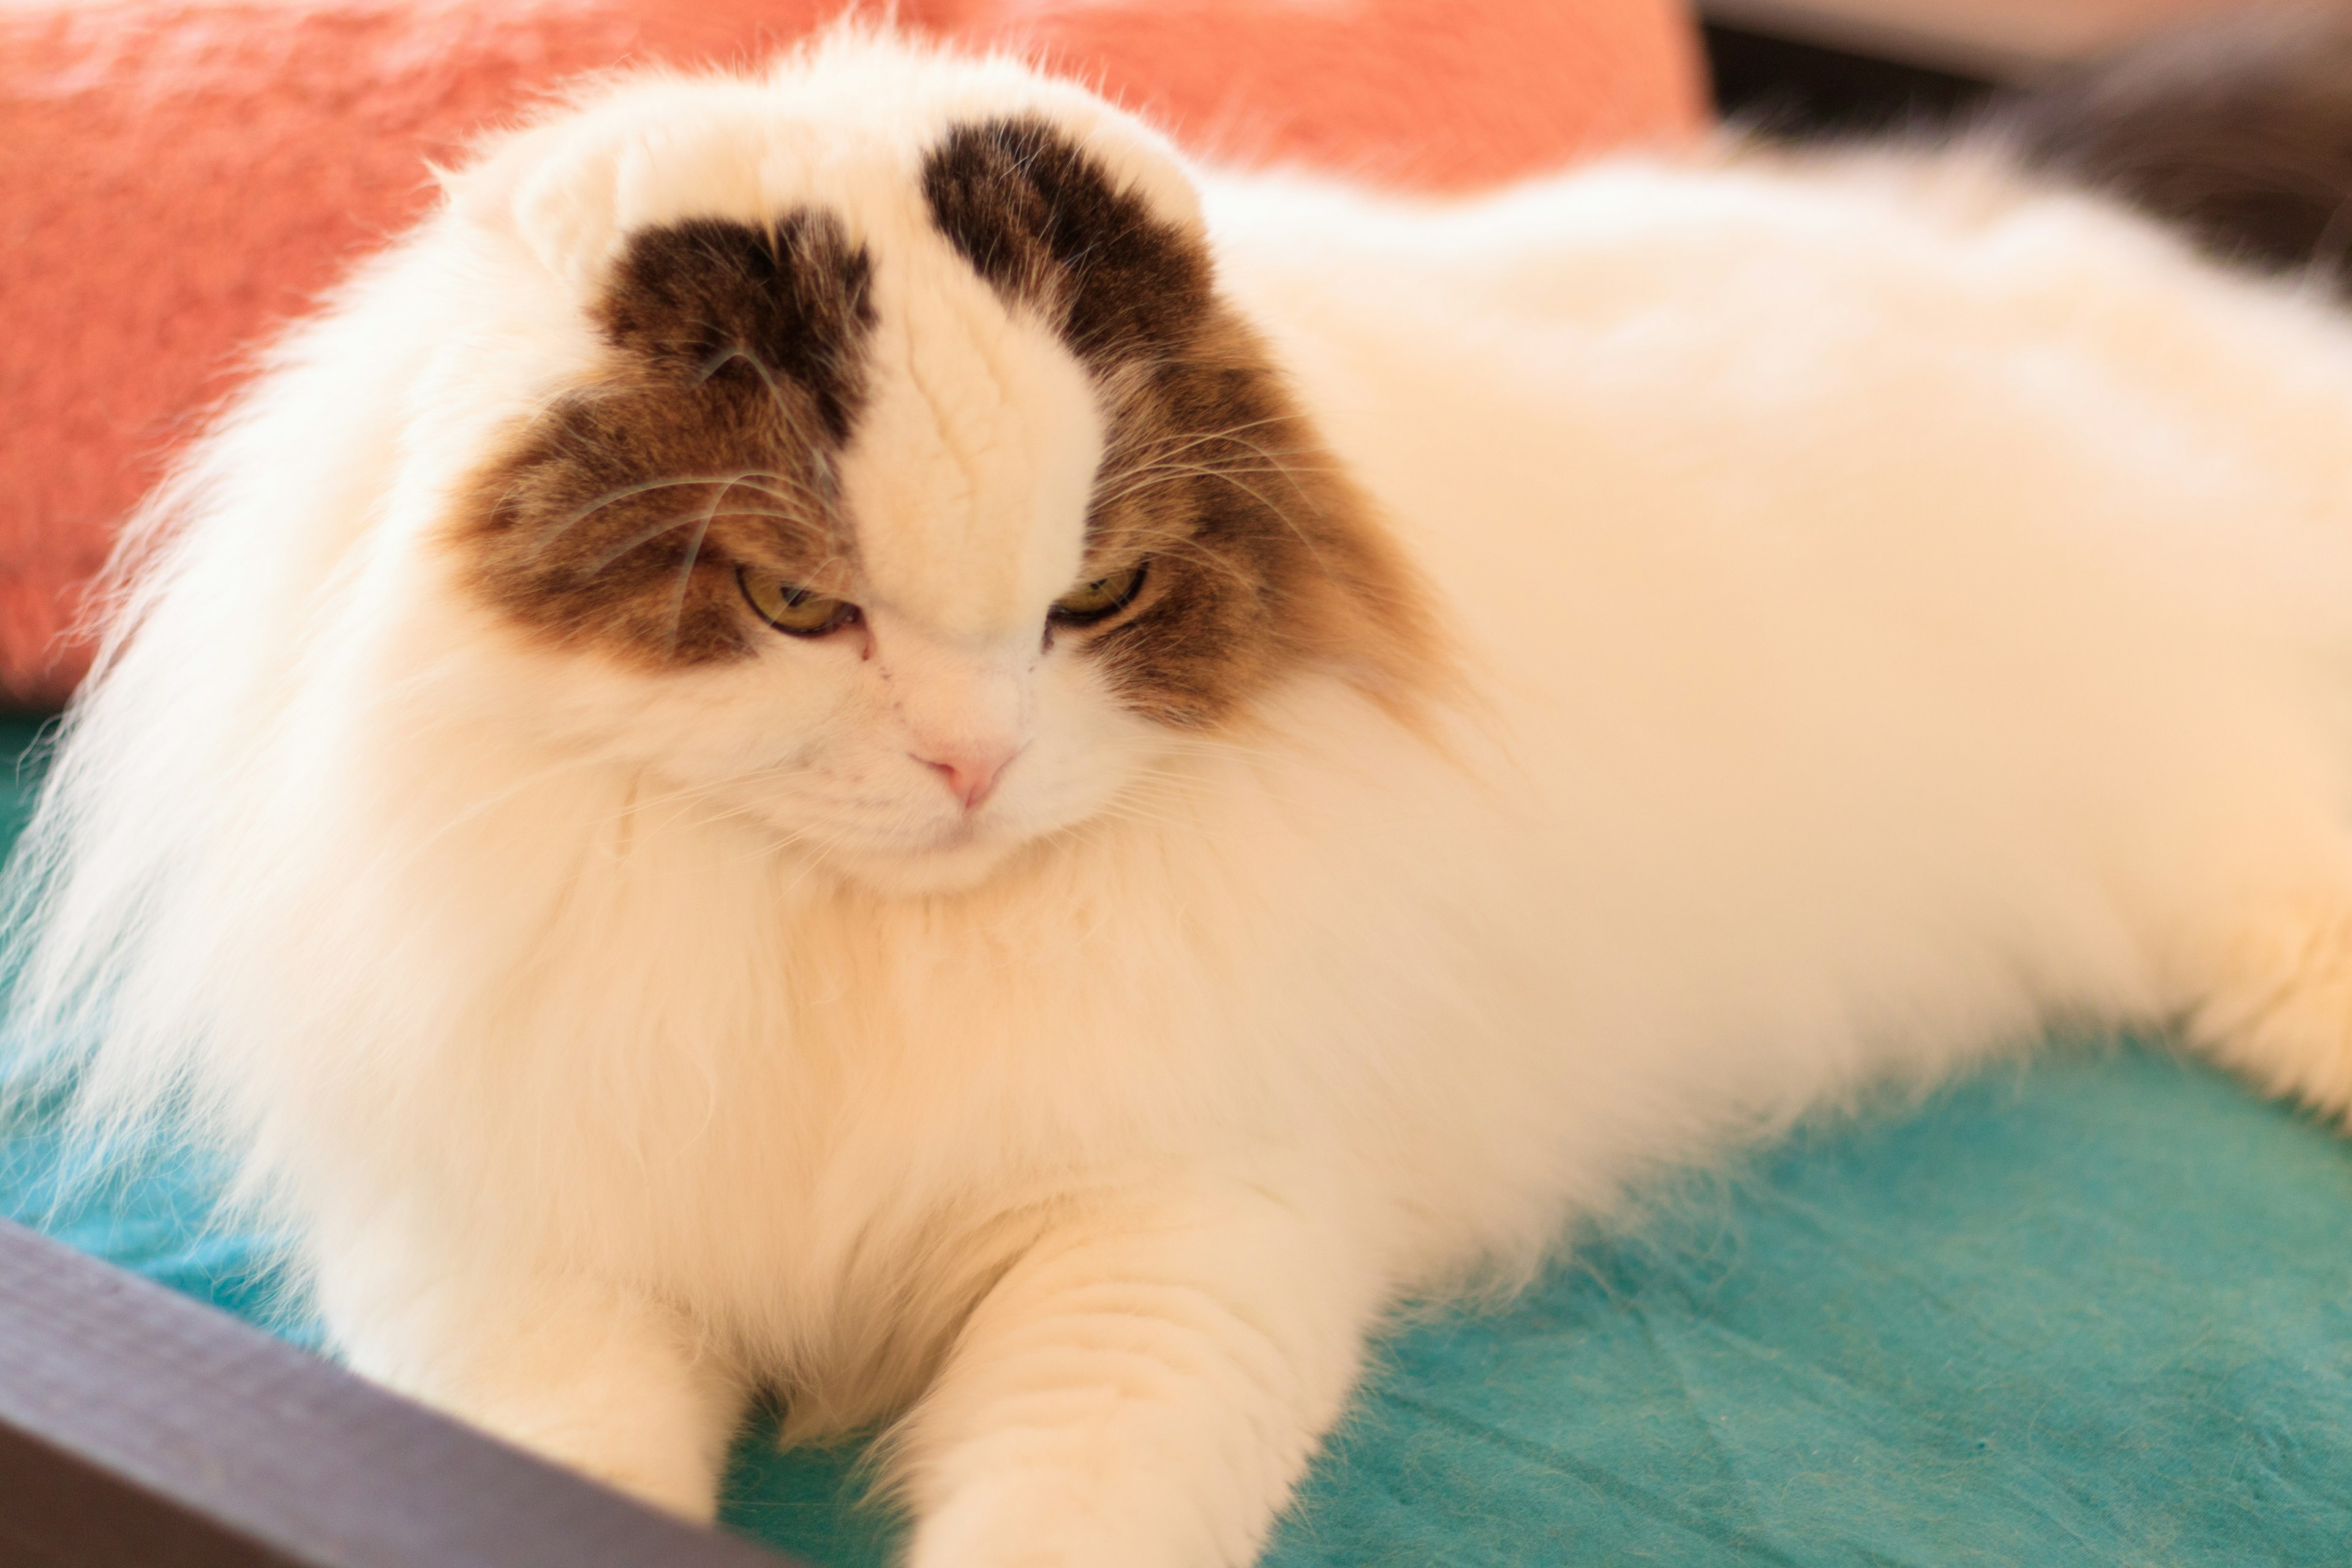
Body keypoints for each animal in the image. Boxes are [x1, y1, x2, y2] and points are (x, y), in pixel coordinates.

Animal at [18, 24, 2352, 1568]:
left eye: (1096, 599)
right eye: (794, 604)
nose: (972, 764)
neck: (850, 960)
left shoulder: (1178, 1231)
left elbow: (1069, 1507)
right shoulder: (514, 1241)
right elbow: (531, 1475)